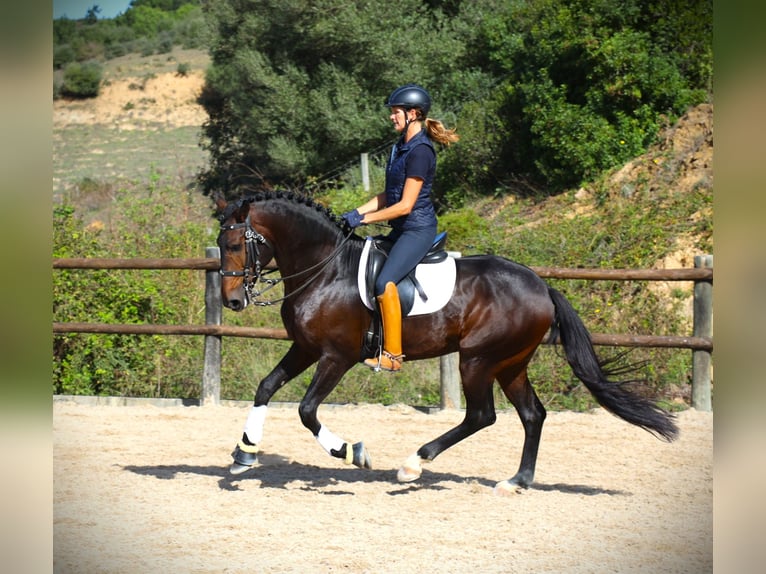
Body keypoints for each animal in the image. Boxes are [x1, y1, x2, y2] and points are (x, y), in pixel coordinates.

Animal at [216, 190, 680, 496]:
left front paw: (353, 452)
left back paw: (414, 465)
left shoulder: (336, 356)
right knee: (532, 414)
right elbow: (266, 387)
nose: (233, 301)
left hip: (478, 360)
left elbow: (307, 410)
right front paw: (244, 455)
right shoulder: (306, 348)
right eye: (220, 244)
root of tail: (542, 286)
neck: (325, 270)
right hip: (510, 363)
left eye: (237, 243)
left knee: (481, 415)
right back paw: (516, 481)